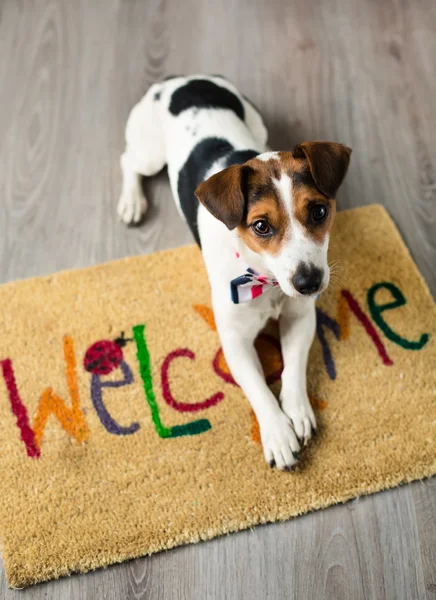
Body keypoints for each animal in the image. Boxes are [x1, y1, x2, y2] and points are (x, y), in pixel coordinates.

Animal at [118, 74, 350, 468]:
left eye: (319, 211)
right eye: (261, 226)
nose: (309, 283)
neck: (266, 280)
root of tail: (180, 79)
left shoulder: (300, 318)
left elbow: (293, 365)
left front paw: (297, 409)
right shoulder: (235, 341)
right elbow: (258, 388)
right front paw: (277, 433)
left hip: (257, 122)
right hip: (149, 153)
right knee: (129, 161)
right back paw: (131, 200)